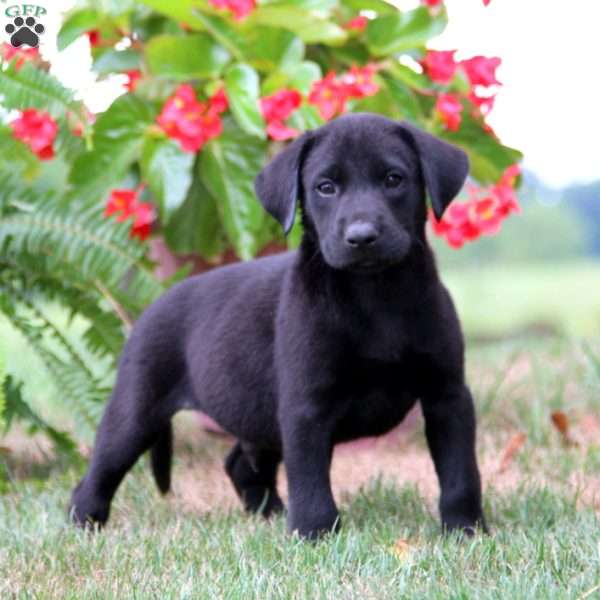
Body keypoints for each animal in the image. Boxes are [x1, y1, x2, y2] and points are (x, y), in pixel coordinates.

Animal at [70, 113, 486, 540]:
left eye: (393, 179)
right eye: (325, 187)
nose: (361, 237)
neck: (374, 295)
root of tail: (153, 305)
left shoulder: (447, 395)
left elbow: (460, 475)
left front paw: (464, 530)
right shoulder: (306, 407)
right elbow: (310, 482)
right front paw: (315, 535)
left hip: (256, 413)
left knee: (241, 464)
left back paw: (268, 514)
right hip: (136, 412)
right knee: (97, 474)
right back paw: (83, 523)